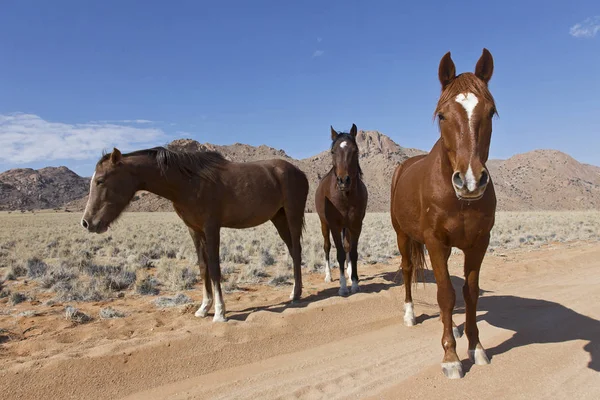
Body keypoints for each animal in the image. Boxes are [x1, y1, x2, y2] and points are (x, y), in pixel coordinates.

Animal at [81, 146, 308, 322]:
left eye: (100, 180)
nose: (87, 222)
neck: (188, 183)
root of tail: (299, 172)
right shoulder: (194, 230)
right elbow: (203, 267)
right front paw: (203, 308)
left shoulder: (211, 228)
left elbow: (215, 268)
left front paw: (220, 312)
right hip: (278, 218)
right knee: (292, 250)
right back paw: (294, 292)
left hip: (292, 215)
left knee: (297, 250)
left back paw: (296, 294)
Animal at [316, 123, 368, 296]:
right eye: (333, 151)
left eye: (355, 150)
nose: (344, 180)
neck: (345, 196)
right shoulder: (334, 225)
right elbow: (339, 254)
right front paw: (343, 287)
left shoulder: (356, 225)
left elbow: (353, 252)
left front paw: (355, 283)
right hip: (324, 224)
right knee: (327, 247)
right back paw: (329, 276)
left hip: (347, 226)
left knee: (347, 247)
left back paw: (350, 273)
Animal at [390, 48, 496, 380]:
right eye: (442, 115)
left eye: (491, 112)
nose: (471, 180)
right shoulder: (434, 241)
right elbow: (446, 294)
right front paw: (451, 356)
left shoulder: (479, 243)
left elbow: (470, 292)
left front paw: (476, 347)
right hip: (403, 235)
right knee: (408, 269)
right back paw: (410, 315)